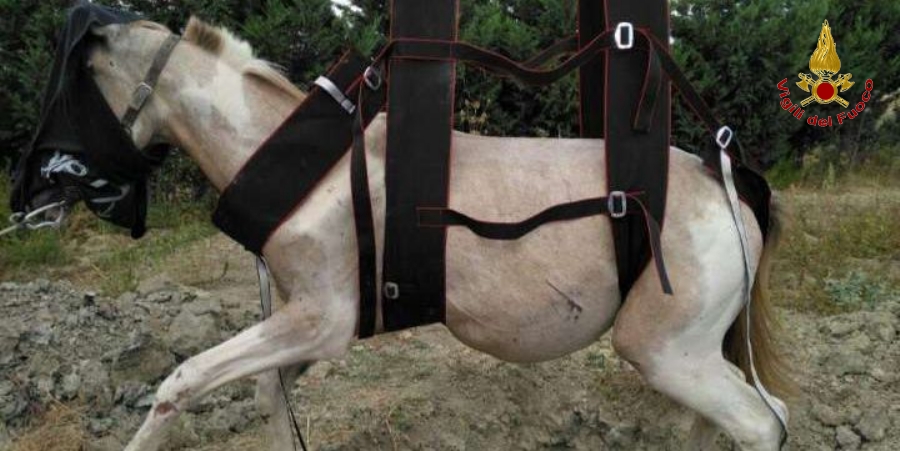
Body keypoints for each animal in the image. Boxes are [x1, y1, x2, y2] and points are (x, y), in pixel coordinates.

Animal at [76, 17, 791, 451]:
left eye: (85, 79)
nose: (65, 189)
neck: (316, 168)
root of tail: (728, 182)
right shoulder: (306, 320)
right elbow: (267, 394)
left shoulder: (320, 320)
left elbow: (182, 380)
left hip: (670, 351)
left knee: (762, 422)